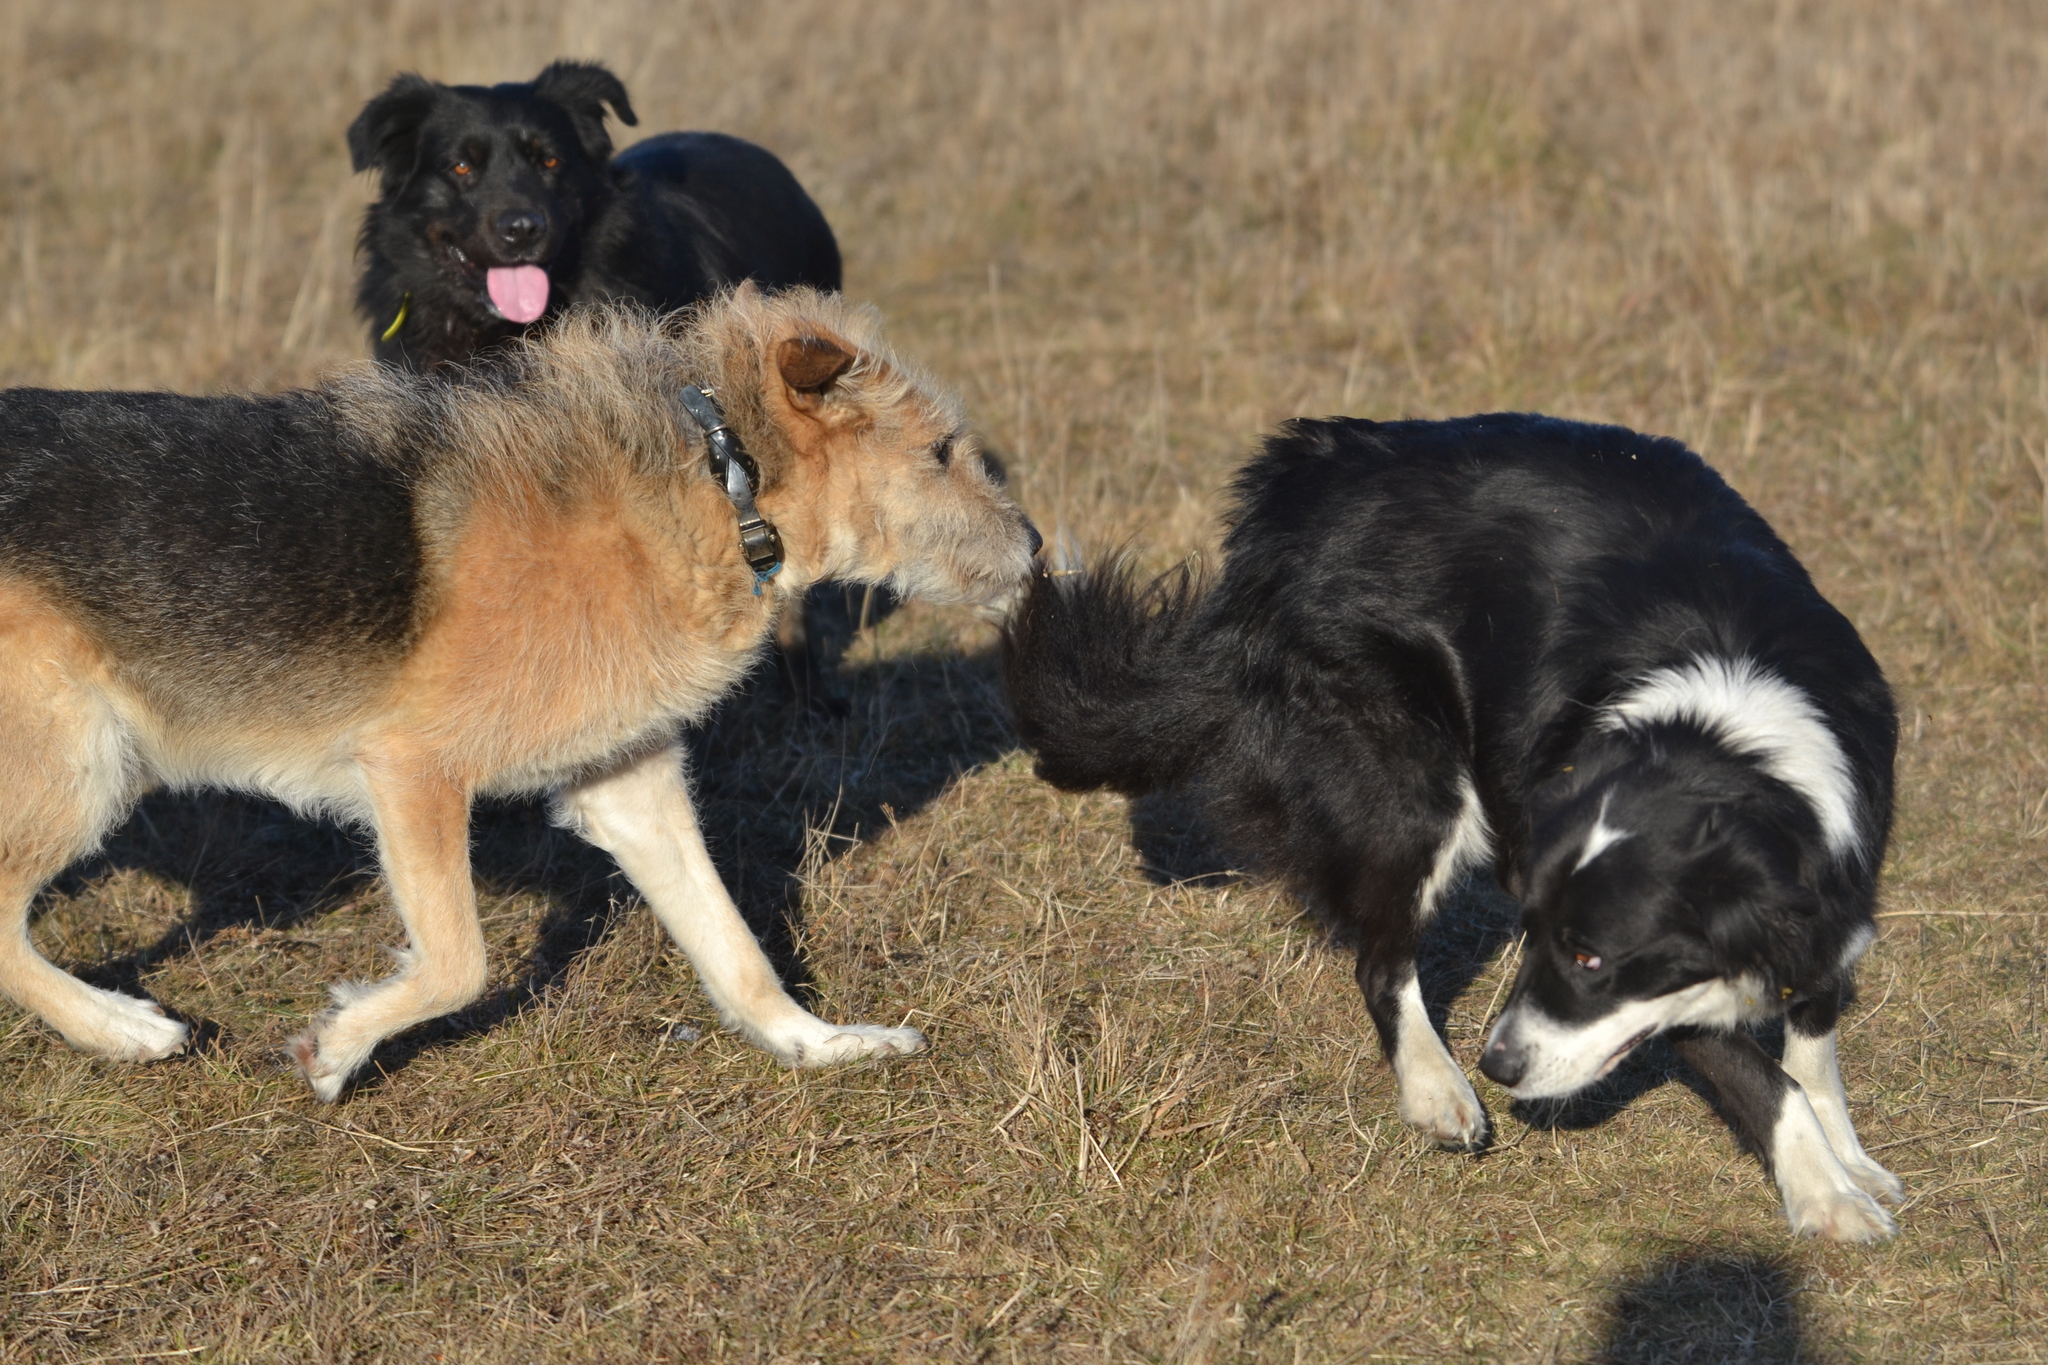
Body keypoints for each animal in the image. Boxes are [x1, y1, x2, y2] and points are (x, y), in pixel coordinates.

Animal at [0, 286, 1032, 1096]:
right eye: (943, 452)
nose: (1035, 548)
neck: (718, 470)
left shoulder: (631, 788)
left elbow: (736, 948)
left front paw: (819, 1045)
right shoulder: (413, 772)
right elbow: (459, 963)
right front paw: (336, 1049)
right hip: (84, 769)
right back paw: (122, 1027)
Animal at [1003, 413, 1900, 1236]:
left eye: (1588, 956)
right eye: (1539, 938)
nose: (1498, 1062)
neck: (1721, 741)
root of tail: (1302, 470)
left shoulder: (1836, 878)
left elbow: (1812, 1040)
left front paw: (1848, 1160)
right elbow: (1768, 1079)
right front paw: (1827, 1200)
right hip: (1409, 781)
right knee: (1382, 956)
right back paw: (1437, 1090)